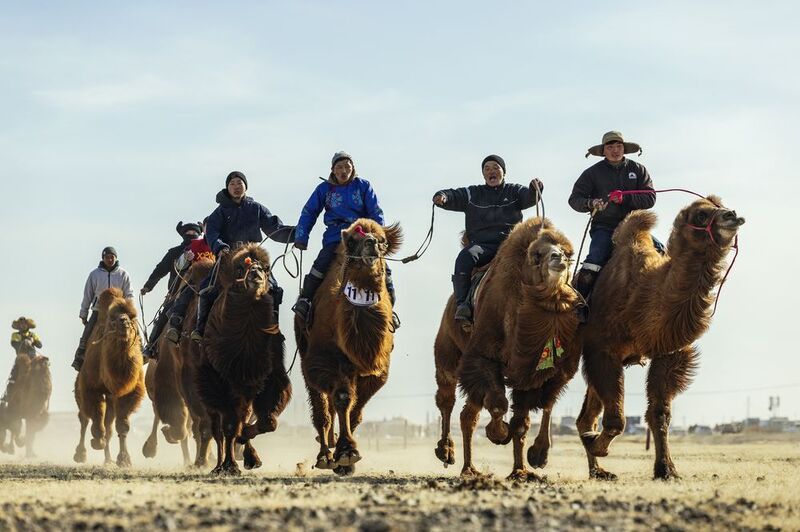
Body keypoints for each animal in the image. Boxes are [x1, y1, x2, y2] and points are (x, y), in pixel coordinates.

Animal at [73, 287, 145, 467]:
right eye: (113, 319)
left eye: (132, 317)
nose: (124, 322)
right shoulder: (91, 387)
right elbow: (96, 415)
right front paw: (97, 441)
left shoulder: (129, 392)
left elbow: (122, 425)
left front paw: (124, 460)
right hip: (79, 387)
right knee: (84, 418)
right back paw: (80, 454)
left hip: (111, 397)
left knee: (109, 425)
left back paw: (108, 460)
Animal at [195, 244, 291, 475]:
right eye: (241, 268)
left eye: (266, 268)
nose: (255, 272)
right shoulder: (220, 380)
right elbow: (228, 426)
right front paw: (229, 466)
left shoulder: (266, 376)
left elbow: (268, 421)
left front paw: (245, 444)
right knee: (216, 427)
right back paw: (219, 465)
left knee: (241, 417)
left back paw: (250, 457)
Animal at [295, 219, 402, 476]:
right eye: (353, 241)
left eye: (383, 241)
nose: (371, 243)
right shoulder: (323, 360)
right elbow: (342, 398)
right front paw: (346, 452)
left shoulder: (376, 369)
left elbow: (356, 407)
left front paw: (346, 454)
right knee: (322, 410)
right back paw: (325, 455)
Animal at [443, 218, 582, 479]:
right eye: (537, 254)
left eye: (569, 254)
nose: (558, 258)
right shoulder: (484, 355)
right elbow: (499, 405)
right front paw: (497, 434)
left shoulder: (536, 370)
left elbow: (525, 420)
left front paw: (524, 468)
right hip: (448, 345)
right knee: (447, 396)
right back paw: (447, 453)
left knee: (469, 415)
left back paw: (470, 468)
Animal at [576, 195, 745, 480]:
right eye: (701, 215)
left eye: (720, 205)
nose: (732, 214)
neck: (641, 297)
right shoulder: (601, 349)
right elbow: (616, 418)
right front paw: (596, 443)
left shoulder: (666, 353)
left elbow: (659, 413)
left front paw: (666, 470)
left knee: (585, 416)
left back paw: (598, 471)